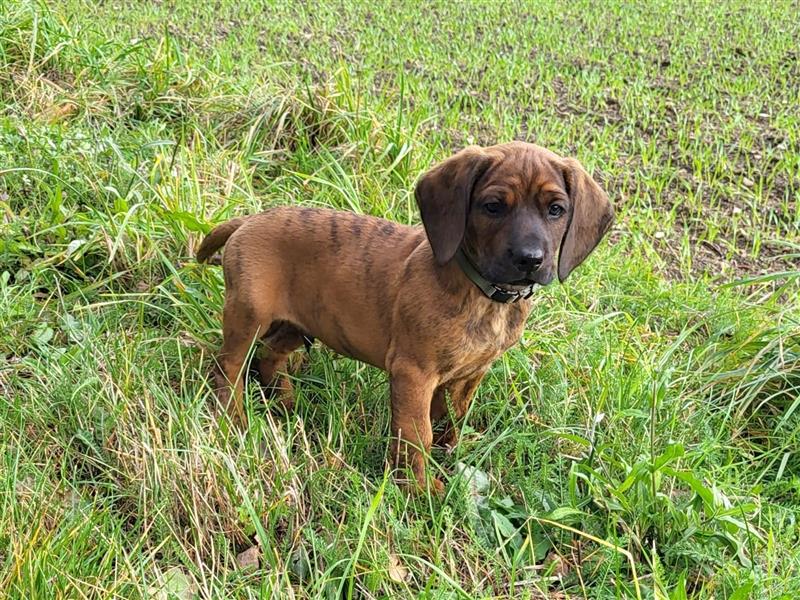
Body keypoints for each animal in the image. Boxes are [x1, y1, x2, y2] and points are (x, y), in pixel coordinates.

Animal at [198, 143, 612, 494]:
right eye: (493, 206)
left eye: (556, 210)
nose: (530, 260)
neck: (483, 295)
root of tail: (249, 220)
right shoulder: (413, 372)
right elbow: (417, 433)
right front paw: (420, 490)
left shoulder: (469, 375)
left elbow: (450, 422)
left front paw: (448, 460)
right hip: (249, 314)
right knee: (229, 366)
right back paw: (234, 418)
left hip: (303, 322)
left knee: (271, 354)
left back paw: (284, 402)